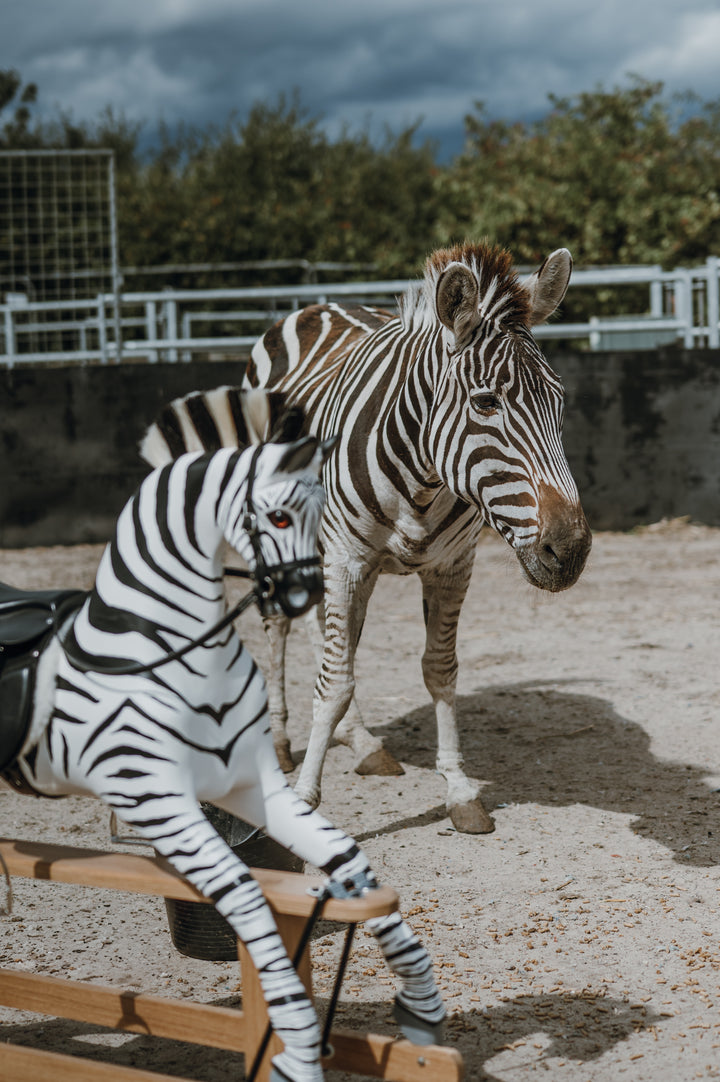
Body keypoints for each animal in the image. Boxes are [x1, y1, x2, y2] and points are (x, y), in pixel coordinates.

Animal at [0, 396, 445, 1082]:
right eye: (279, 514)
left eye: (322, 506)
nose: (308, 594)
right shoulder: (157, 800)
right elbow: (247, 899)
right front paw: (294, 1043)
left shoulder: (248, 783)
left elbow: (350, 862)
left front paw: (419, 1003)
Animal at [146, 241, 592, 836]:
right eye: (485, 403)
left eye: (559, 403)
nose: (569, 549)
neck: (423, 477)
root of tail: (319, 305)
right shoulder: (348, 560)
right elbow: (335, 680)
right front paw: (305, 799)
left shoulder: (452, 565)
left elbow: (438, 671)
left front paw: (458, 790)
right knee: (280, 626)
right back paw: (282, 743)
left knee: (328, 634)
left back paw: (361, 742)